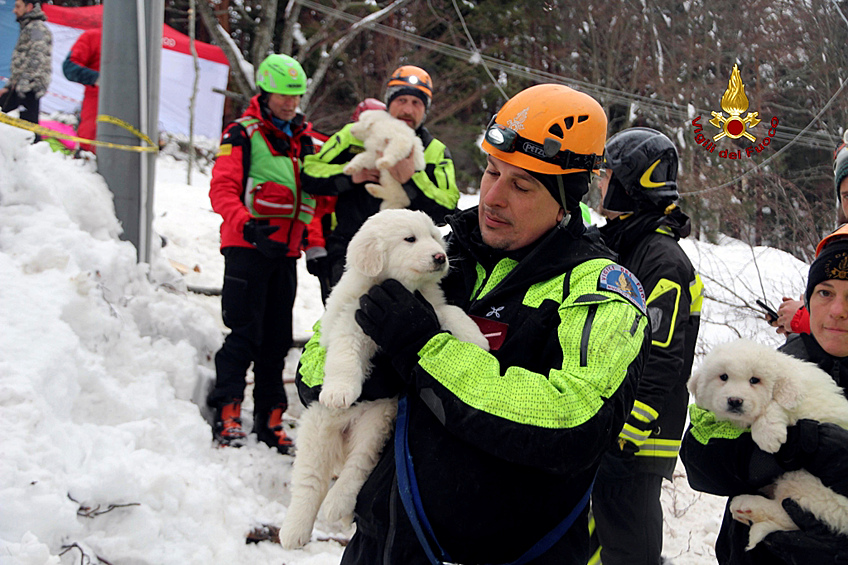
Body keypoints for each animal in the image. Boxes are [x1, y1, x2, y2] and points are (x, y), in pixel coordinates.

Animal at [280, 209, 490, 548]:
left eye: (434, 236)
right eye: (410, 239)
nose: (441, 257)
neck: (402, 288)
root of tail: (344, 434)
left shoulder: (430, 307)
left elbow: (452, 313)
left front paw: (477, 339)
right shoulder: (351, 321)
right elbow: (344, 355)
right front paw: (339, 392)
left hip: (376, 424)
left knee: (356, 468)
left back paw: (337, 505)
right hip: (317, 431)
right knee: (309, 482)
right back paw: (294, 531)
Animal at [684, 338, 848, 548]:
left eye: (755, 380)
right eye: (723, 377)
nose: (735, 401)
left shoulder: (802, 402)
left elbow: (774, 404)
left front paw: (768, 434)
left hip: (808, 482)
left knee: (792, 513)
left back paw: (747, 505)